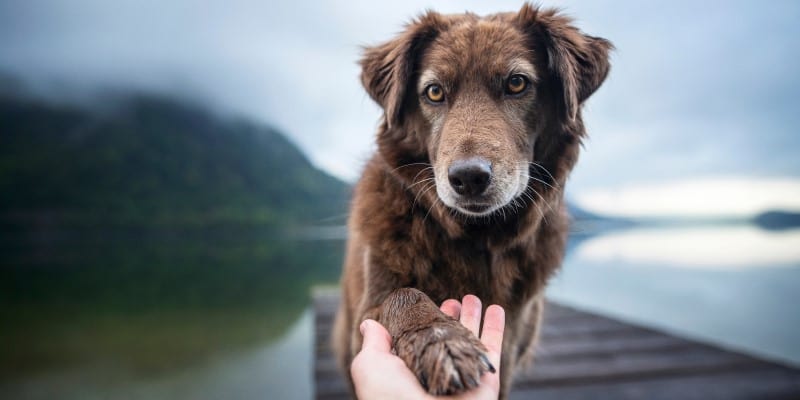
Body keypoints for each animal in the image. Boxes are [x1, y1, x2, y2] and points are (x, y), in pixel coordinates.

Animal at [332, 2, 612, 396]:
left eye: (516, 83)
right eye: (434, 92)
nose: (468, 178)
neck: (476, 237)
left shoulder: (511, 347)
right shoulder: (367, 313)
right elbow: (404, 295)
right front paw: (442, 342)